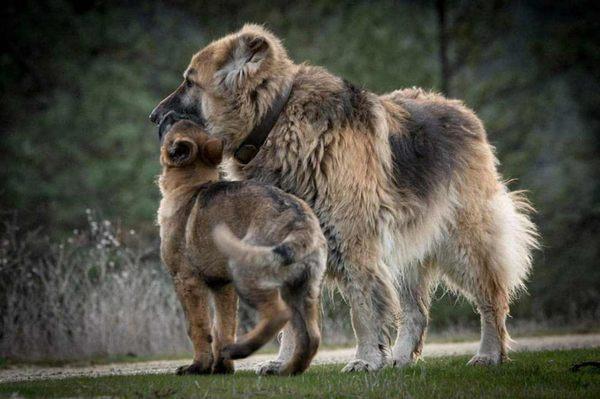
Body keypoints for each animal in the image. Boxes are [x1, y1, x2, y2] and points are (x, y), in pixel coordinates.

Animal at [157, 120, 326, 376]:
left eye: (169, 128)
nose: (156, 118)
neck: (191, 184)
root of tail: (299, 223)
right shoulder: (222, 286)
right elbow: (223, 327)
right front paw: (221, 368)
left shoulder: (187, 281)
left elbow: (198, 327)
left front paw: (198, 366)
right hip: (301, 289)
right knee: (311, 336)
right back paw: (286, 370)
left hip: (248, 274)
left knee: (277, 315)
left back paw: (241, 350)